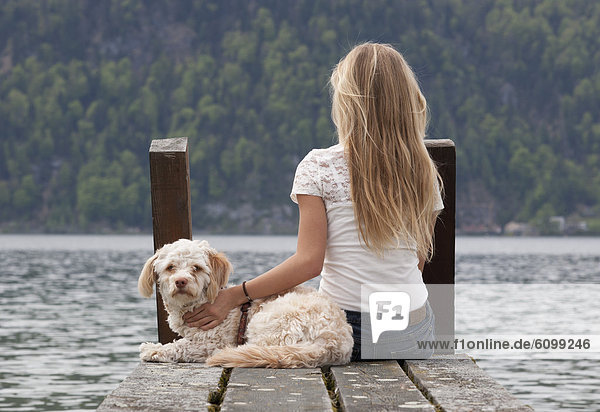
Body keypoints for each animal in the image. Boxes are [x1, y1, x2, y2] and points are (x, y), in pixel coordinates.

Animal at [137, 238, 352, 366]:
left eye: (196, 268)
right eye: (170, 267)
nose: (181, 281)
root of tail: (331, 343)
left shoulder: (212, 342)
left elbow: (181, 345)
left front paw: (154, 349)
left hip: (267, 321)